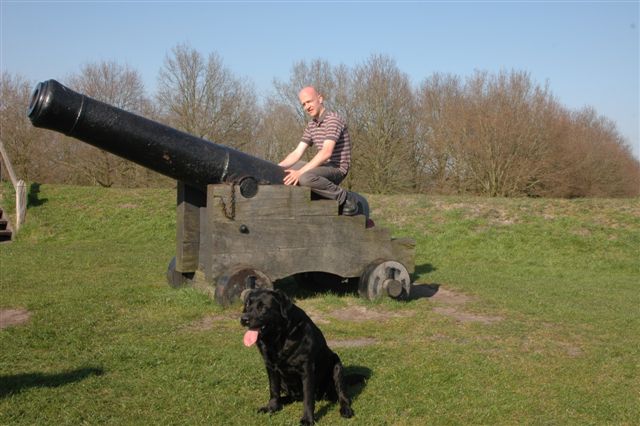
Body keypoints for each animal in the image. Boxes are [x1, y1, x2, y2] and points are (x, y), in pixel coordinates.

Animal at [240, 288, 356, 425]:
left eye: (262, 307)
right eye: (248, 304)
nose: (243, 319)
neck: (279, 339)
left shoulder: (307, 369)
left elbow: (308, 398)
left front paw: (307, 419)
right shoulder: (270, 367)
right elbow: (273, 390)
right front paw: (272, 407)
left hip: (337, 366)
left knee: (342, 395)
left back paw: (345, 409)